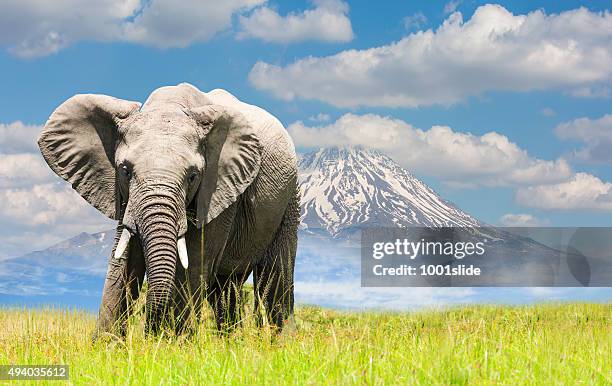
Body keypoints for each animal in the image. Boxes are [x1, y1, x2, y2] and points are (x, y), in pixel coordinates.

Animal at [37, 82, 300, 334]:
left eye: (193, 176)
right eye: (125, 171)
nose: (150, 331)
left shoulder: (218, 190)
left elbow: (193, 263)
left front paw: (175, 343)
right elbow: (124, 260)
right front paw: (107, 344)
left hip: (289, 195)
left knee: (274, 279)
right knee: (225, 288)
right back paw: (230, 342)